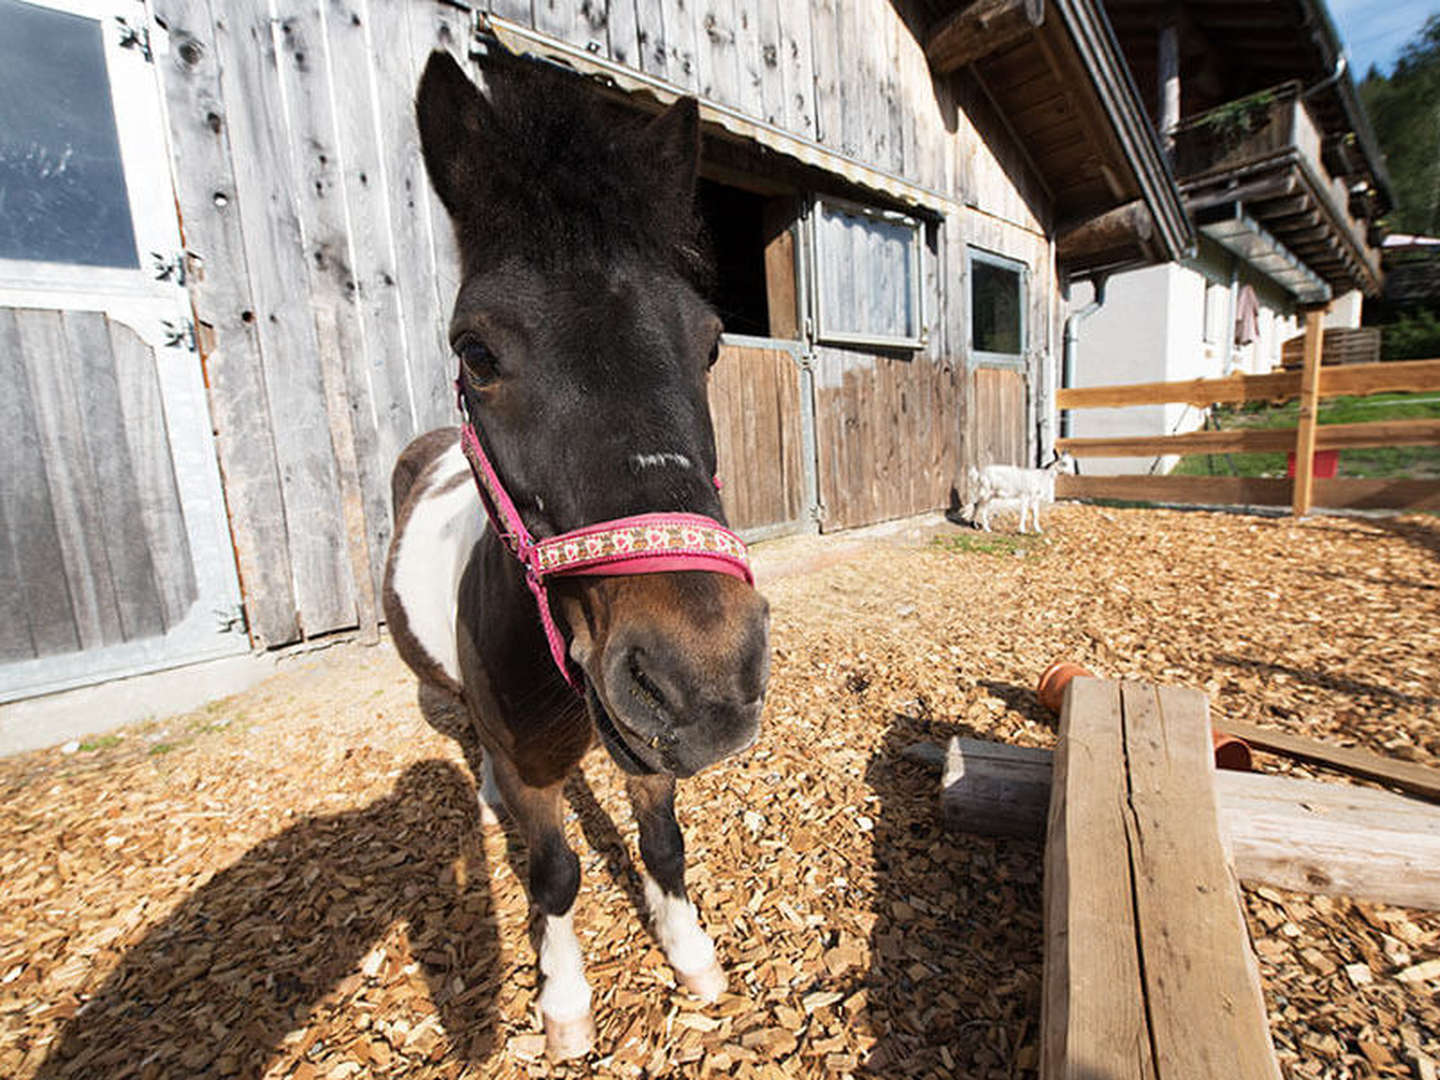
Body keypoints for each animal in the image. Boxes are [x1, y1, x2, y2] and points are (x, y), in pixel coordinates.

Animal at [377, 46, 771, 1059]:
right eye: (475, 352)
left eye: (712, 345)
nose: (706, 679)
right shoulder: (540, 769)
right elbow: (552, 875)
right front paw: (563, 1003)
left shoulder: (646, 745)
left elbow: (663, 846)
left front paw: (691, 954)